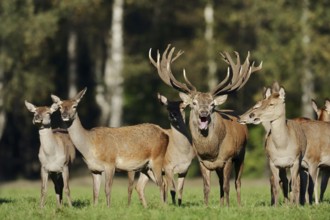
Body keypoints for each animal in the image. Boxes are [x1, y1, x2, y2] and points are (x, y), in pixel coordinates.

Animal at [150, 44, 260, 206]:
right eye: (194, 103)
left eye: (212, 104)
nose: (203, 112)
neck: (211, 151)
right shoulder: (202, 161)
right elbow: (206, 187)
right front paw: (208, 206)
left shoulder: (228, 158)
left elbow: (227, 186)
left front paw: (228, 207)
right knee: (220, 182)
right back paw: (220, 204)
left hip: (242, 154)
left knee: (237, 182)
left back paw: (238, 205)